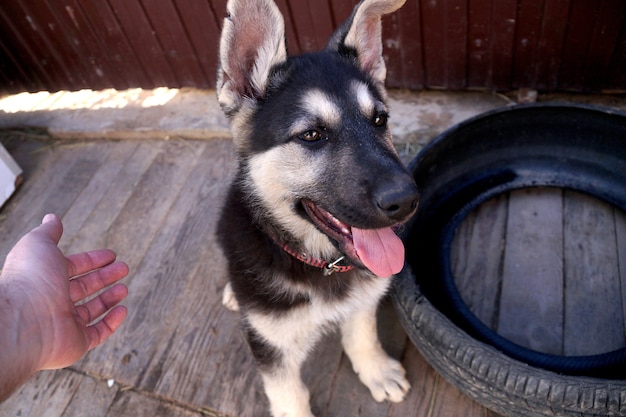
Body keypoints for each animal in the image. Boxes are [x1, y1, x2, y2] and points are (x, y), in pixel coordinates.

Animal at [217, 1, 416, 414]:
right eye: (312, 135)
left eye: (380, 120)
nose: (407, 200)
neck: (319, 263)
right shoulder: (270, 342)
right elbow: (288, 395)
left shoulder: (364, 297)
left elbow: (362, 333)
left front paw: (376, 370)